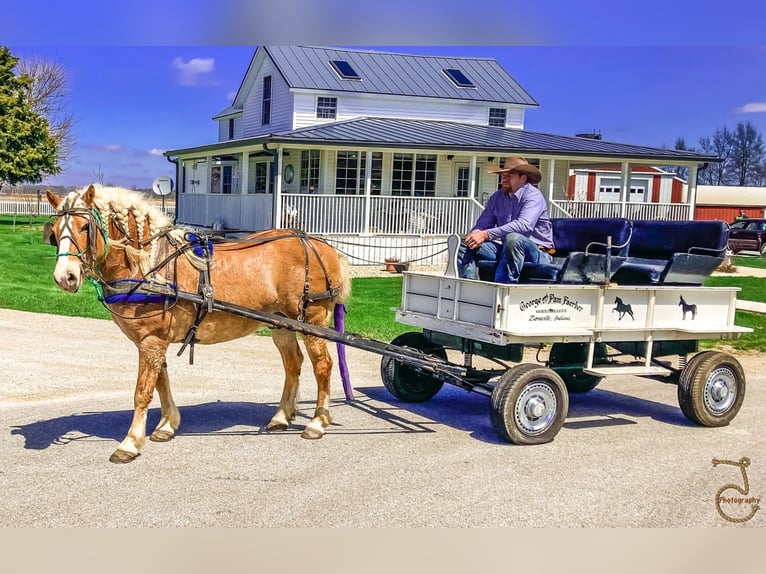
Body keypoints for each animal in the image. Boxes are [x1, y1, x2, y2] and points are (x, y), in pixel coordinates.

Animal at [45, 187, 352, 466]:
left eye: (85, 226)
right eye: (55, 230)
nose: (65, 277)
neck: (150, 264)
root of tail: (321, 246)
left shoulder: (151, 340)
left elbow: (143, 392)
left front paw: (130, 443)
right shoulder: (155, 341)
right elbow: (161, 382)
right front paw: (167, 425)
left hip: (312, 320)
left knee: (322, 366)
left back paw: (317, 422)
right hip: (280, 323)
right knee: (293, 363)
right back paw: (281, 416)